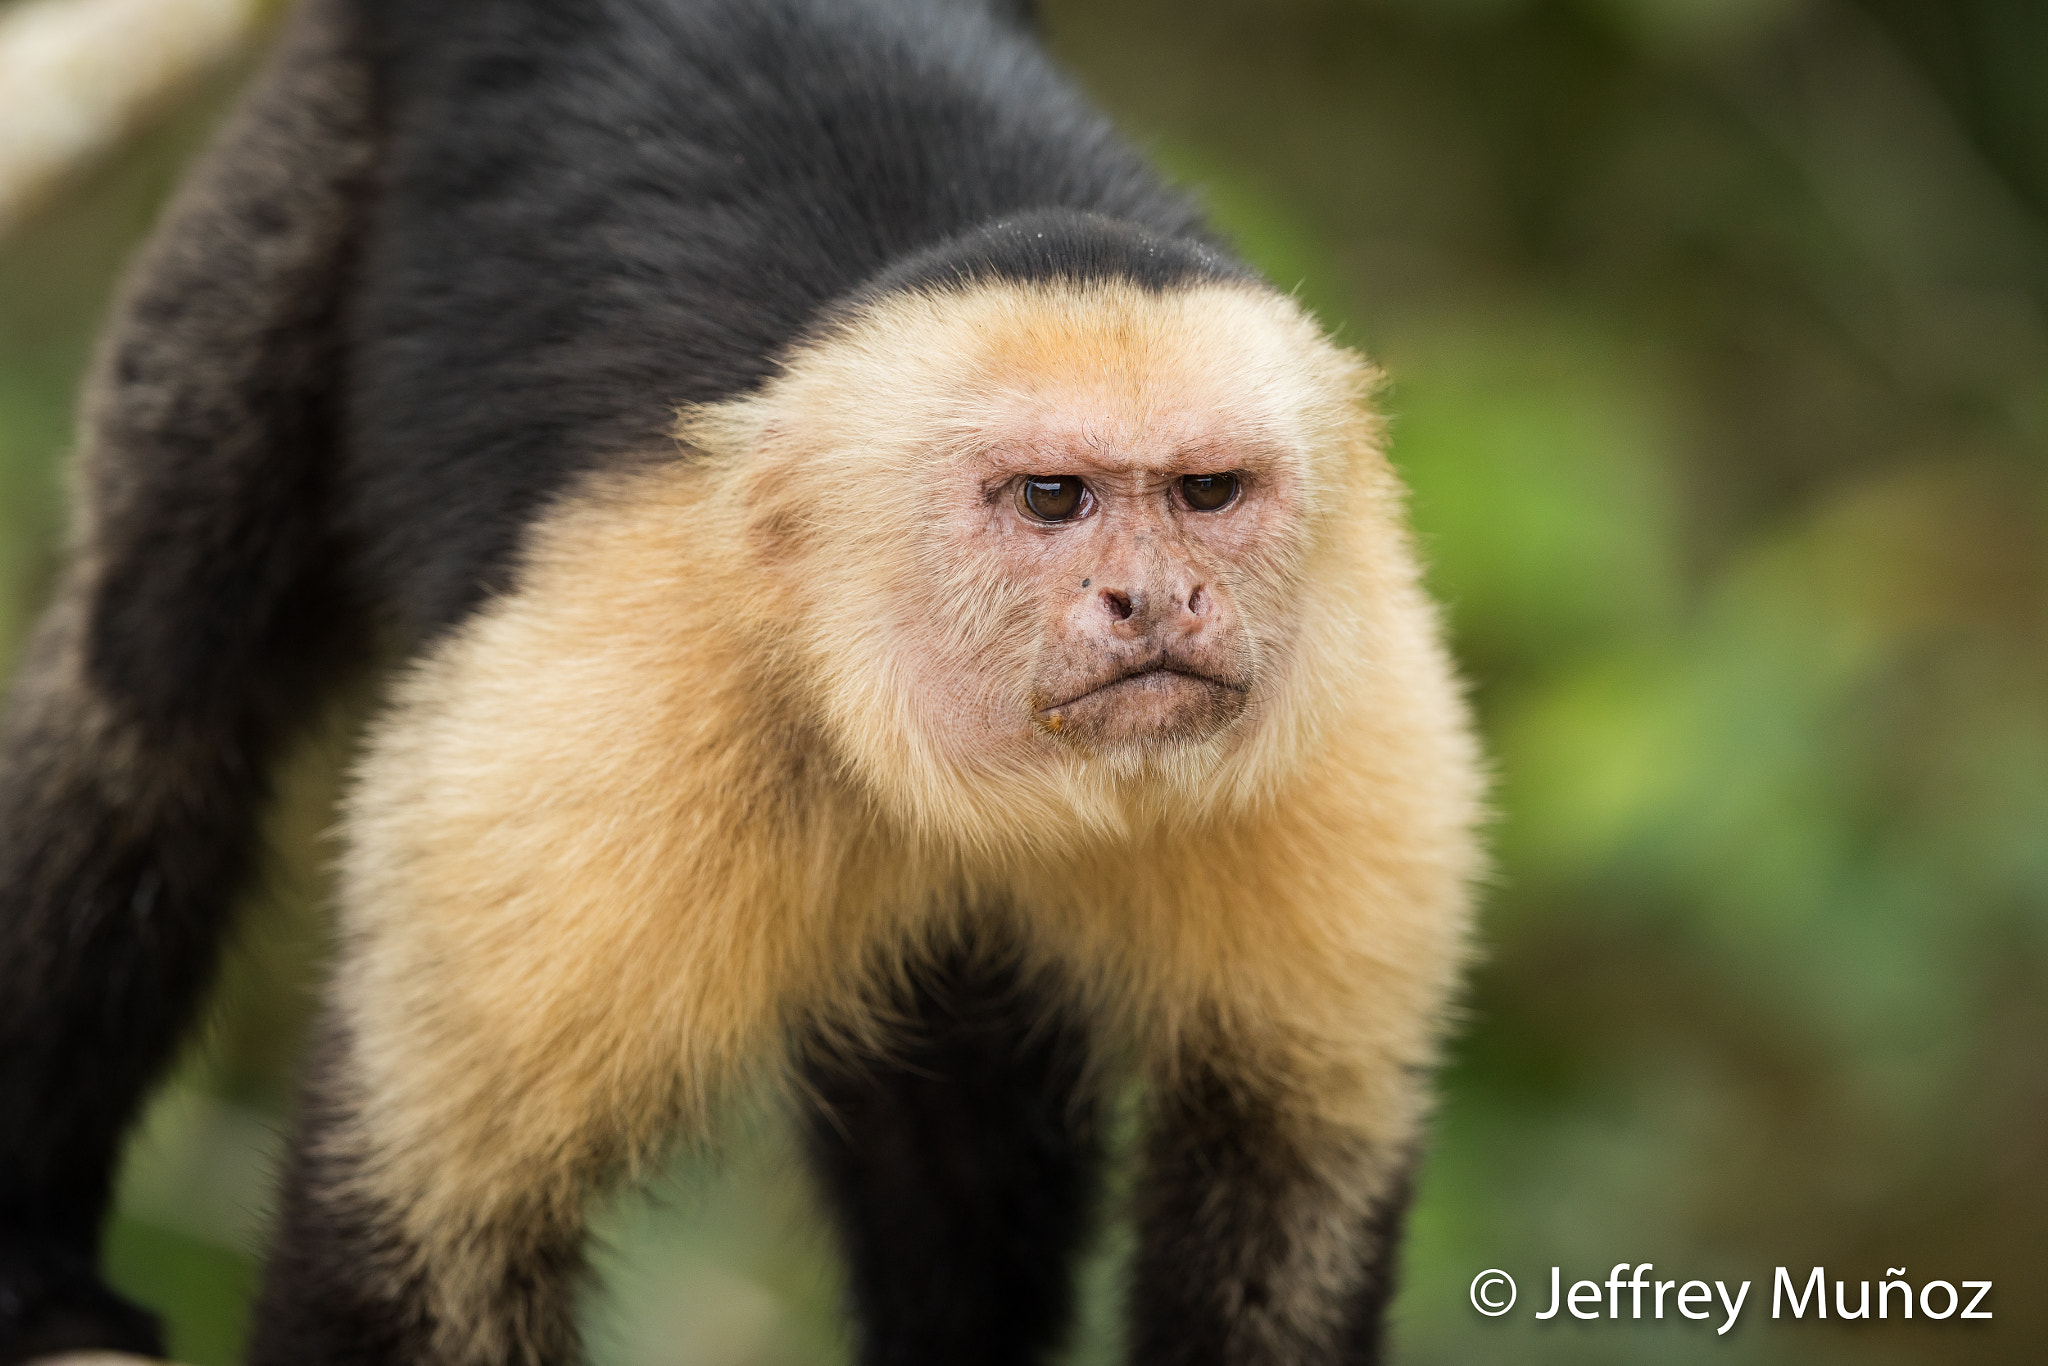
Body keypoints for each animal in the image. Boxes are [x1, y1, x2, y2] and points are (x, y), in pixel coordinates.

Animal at [0, 2, 1482, 1366]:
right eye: (1051, 498)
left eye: (1208, 492)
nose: (1154, 600)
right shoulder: (603, 728)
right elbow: (426, 1227)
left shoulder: (1366, 732)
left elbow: (1287, 1180)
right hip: (316, 165)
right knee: (151, 704)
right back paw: (42, 1265)